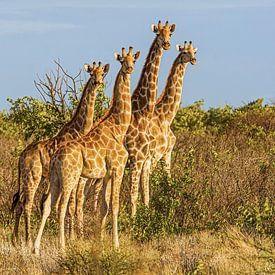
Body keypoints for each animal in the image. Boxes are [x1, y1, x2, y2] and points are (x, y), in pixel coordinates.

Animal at [11, 62, 109, 248]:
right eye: (91, 74)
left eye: (102, 74)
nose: (97, 82)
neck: (79, 130)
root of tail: (21, 156)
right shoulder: (75, 176)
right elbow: (70, 206)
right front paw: (72, 238)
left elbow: (69, 205)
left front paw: (73, 237)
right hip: (33, 176)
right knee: (27, 204)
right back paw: (28, 240)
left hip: (29, 177)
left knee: (19, 203)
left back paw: (16, 240)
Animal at [33, 47, 140, 254]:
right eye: (122, 60)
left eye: (133, 60)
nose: (130, 68)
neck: (119, 126)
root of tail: (56, 157)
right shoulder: (118, 169)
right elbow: (115, 205)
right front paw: (116, 245)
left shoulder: (106, 174)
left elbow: (103, 207)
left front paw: (100, 243)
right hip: (70, 177)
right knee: (61, 207)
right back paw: (62, 246)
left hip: (56, 178)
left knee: (48, 205)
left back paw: (35, 248)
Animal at [126, 20, 176, 217]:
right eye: (158, 34)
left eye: (170, 33)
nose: (167, 44)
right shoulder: (138, 159)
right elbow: (134, 195)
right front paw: (134, 221)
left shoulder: (146, 159)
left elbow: (144, 194)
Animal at [142, 41, 198, 201]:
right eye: (184, 51)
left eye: (194, 52)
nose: (194, 60)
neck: (166, 117)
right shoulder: (155, 155)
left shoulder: (167, 153)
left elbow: (168, 180)